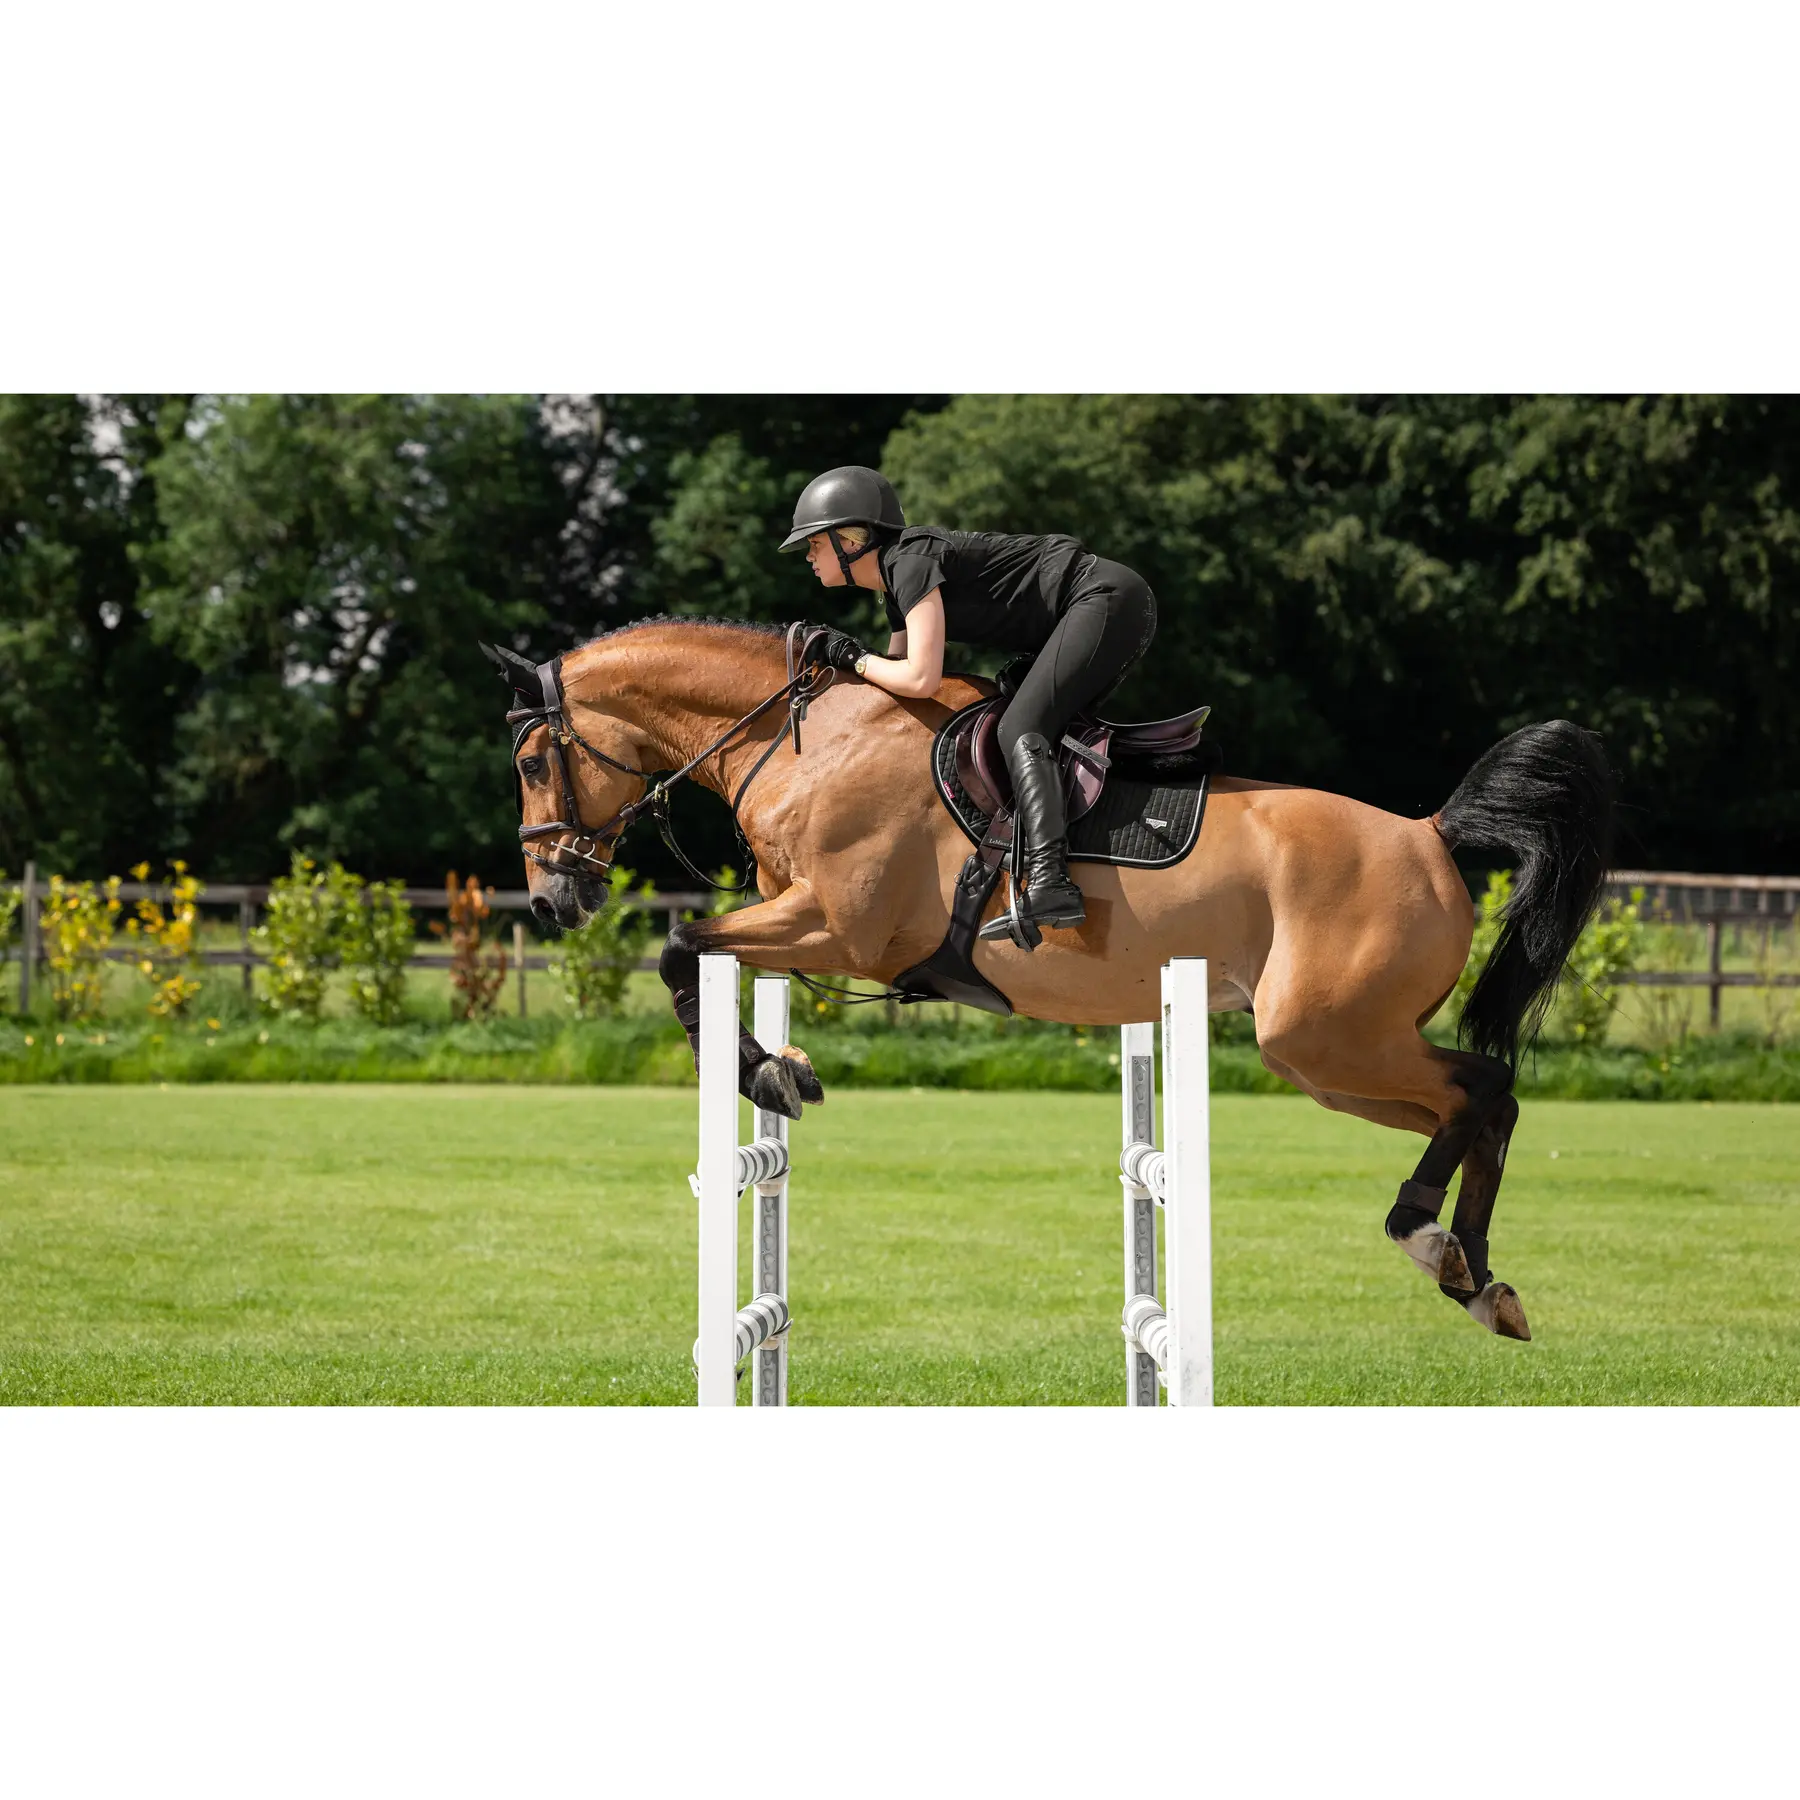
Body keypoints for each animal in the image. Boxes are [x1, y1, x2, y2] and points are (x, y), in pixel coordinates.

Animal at [491, 617, 1614, 1341]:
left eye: (534, 762)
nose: (550, 900)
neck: (803, 744)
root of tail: (1431, 832)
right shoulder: (802, 924)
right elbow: (701, 952)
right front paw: (784, 1067)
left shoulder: (838, 926)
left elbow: (683, 949)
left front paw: (767, 1074)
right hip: (1332, 1060)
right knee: (1486, 1100)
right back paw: (1478, 1277)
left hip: (1328, 1038)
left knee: (1479, 1088)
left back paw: (1428, 1239)